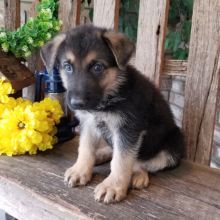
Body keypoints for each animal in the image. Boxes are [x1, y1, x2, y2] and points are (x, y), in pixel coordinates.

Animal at [40, 24, 185, 204]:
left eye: (97, 67)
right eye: (68, 67)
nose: (76, 104)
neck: (109, 96)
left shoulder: (128, 129)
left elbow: (122, 160)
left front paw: (113, 186)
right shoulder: (89, 124)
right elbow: (85, 148)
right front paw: (81, 170)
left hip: (173, 146)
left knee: (142, 161)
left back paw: (138, 175)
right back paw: (100, 155)